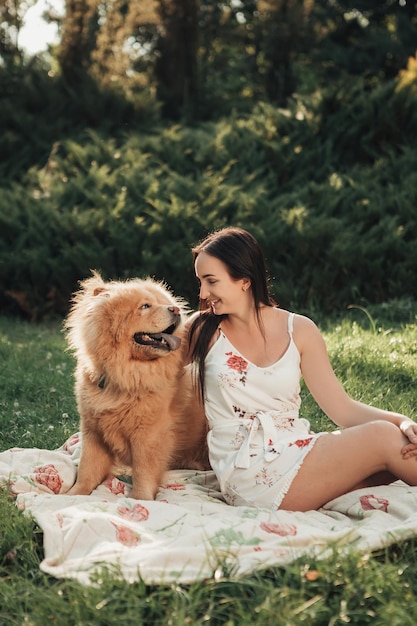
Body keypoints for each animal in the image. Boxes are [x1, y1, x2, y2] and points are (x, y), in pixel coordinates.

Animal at [63, 270, 210, 500]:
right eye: (145, 306)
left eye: (166, 303)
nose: (176, 309)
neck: (126, 375)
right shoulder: (93, 432)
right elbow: (87, 469)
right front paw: (73, 496)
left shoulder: (147, 436)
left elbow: (143, 471)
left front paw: (140, 499)